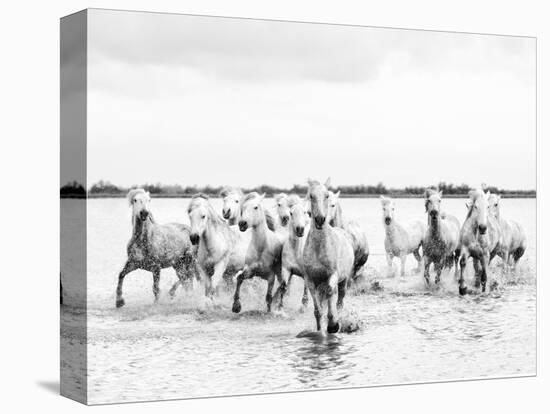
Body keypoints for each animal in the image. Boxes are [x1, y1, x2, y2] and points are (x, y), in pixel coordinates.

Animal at [302, 180, 354, 334]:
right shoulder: (311, 280)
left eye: (326, 196)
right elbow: (318, 310)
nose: (320, 219)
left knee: (339, 301)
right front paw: (320, 329)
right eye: (311, 196)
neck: (319, 247)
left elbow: (331, 292)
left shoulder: (332, 275)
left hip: (344, 280)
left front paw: (333, 325)